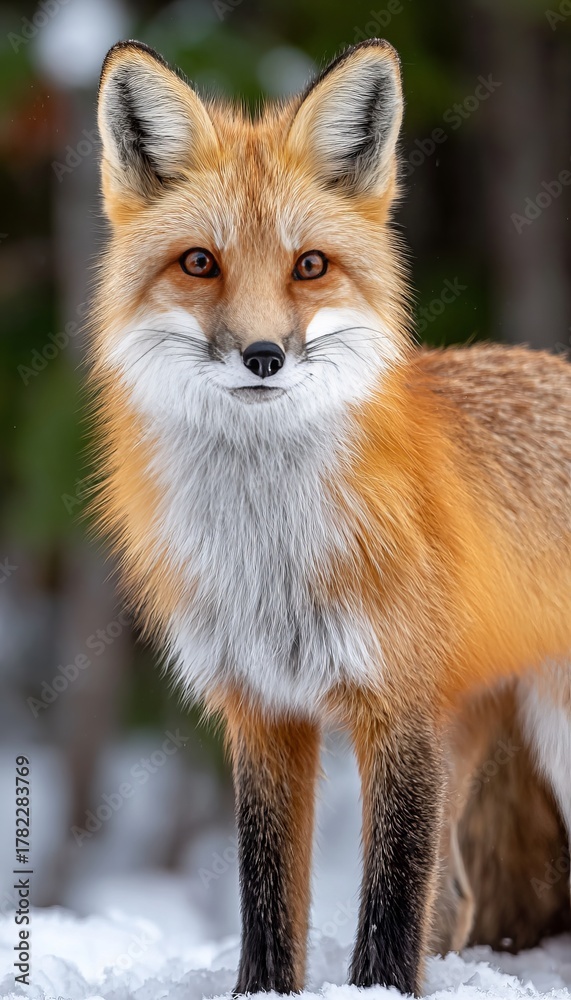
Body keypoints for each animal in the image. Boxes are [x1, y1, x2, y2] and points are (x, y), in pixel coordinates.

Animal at [91, 37, 571, 996]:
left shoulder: (399, 706)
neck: (269, 549)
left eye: (308, 265)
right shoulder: (260, 708)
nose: (263, 356)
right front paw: (264, 990)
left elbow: (387, 909)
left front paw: (375, 990)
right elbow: (267, 897)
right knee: (458, 899)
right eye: (199, 262)